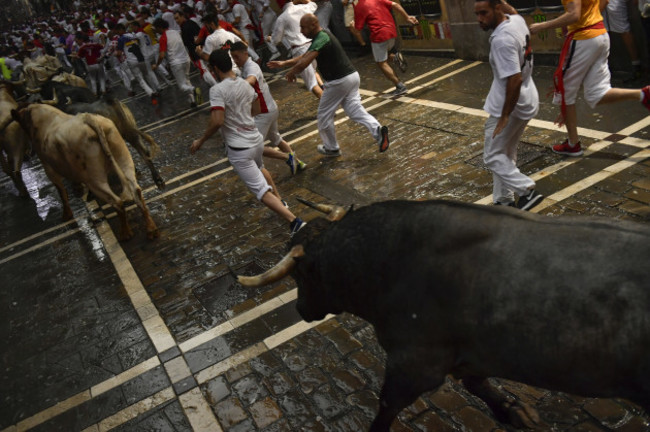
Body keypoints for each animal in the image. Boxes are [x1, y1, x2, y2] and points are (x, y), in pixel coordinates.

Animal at [9, 103, 158, 241]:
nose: (29, 152)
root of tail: (89, 119)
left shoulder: (49, 168)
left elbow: (62, 192)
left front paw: (67, 214)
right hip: (123, 158)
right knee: (136, 190)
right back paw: (151, 229)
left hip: (94, 179)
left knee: (117, 201)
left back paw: (125, 233)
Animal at [238, 201, 648, 430]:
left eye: (300, 276)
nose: (300, 309)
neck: (389, 263)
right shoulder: (467, 353)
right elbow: (476, 383)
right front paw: (512, 409)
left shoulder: (415, 364)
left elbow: (386, 407)